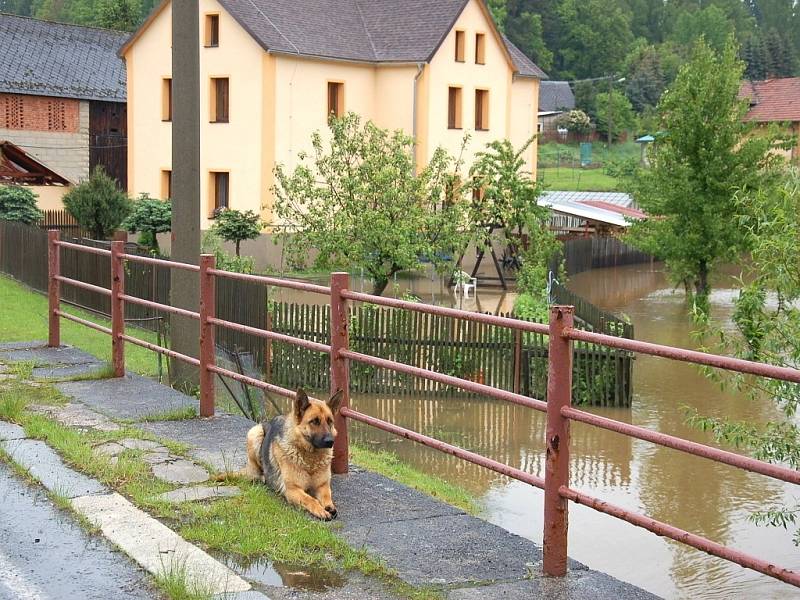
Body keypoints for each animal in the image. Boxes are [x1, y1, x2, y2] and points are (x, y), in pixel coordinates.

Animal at [238, 390, 340, 520]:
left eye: (330, 421)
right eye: (314, 421)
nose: (330, 441)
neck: (310, 460)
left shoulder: (322, 486)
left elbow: (327, 496)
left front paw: (329, 507)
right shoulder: (293, 489)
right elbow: (310, 499)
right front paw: (320, 510)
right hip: (254, 433)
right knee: (256, 472)